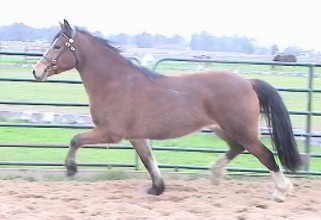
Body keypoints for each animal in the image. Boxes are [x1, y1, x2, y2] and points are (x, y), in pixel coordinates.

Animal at [32, 19, 300, 202]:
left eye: (58, 46)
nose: (37, 71)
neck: (116, 82)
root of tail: (248, 82)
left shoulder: (110, 132)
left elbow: (76, 139)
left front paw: (71, 169)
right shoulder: (137, 137)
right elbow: (149, 160)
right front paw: (156, 188)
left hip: (242, 130)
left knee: (266, 155)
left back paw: (280, 192)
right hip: (224, 129)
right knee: (237, 148)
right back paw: (215, 173)